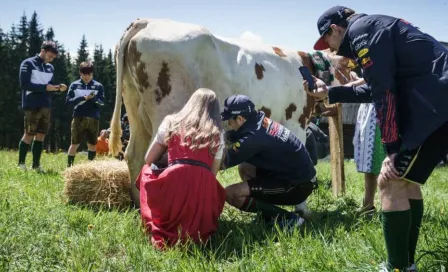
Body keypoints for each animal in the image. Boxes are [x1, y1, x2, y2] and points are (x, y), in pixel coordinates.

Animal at [109, 19, 356, 206]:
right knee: (155, 158)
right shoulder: (296, 121)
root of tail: (149, 21)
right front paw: (301, 208)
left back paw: (138, 203)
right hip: (166, 110)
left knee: (134, 154)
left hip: (134, 109)